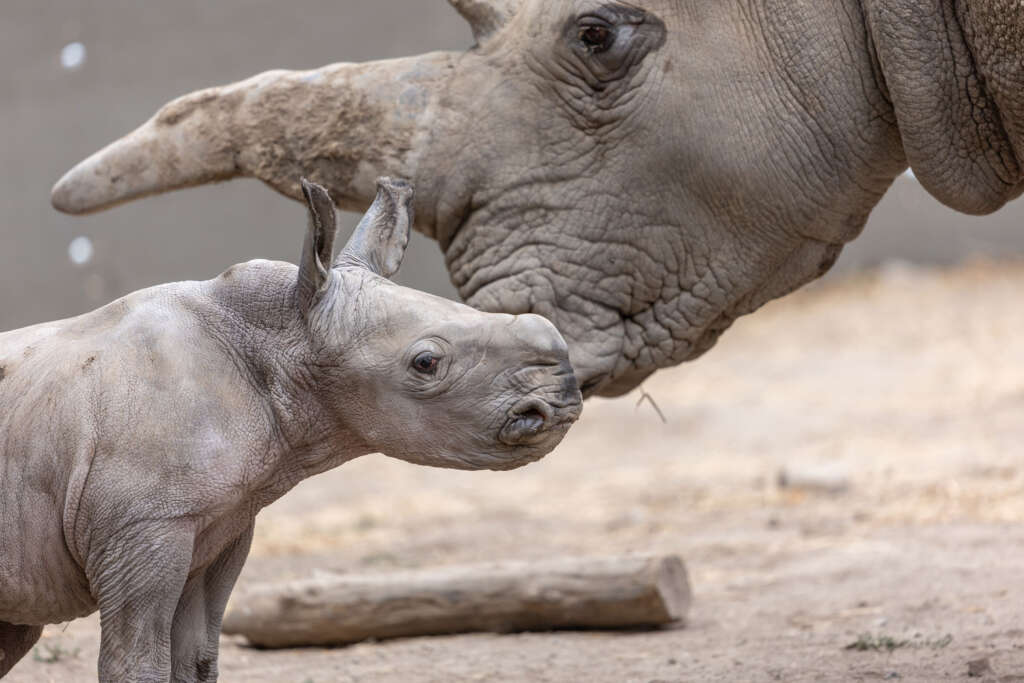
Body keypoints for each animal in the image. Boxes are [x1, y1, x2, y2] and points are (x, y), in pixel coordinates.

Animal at [0, 178, 581, 681]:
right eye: (426, 364)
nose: (562, 400)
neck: (285, 335)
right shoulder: (146, 524)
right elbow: (137, 662)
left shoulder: (222, 524)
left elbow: (196, 660)